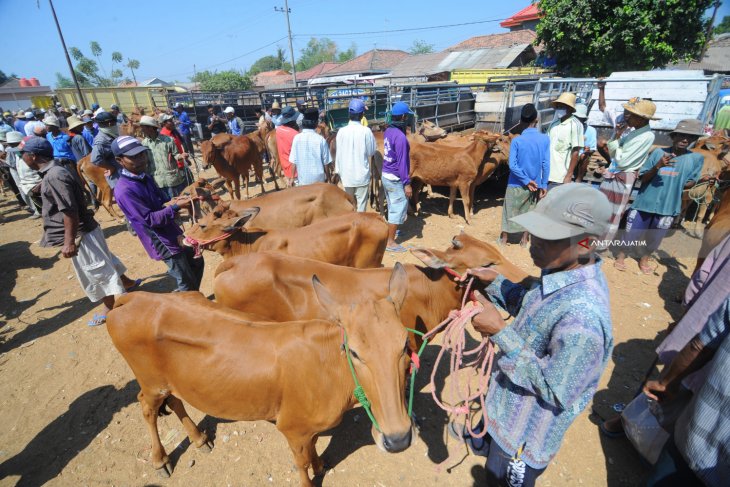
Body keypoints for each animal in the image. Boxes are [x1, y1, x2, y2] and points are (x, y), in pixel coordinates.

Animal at [109, 276, 416, 486]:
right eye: (354, 351)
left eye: (404, 345)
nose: (398, 438)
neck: (328, 366)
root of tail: (135, 299)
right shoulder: (292, 427)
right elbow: (301, 461)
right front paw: (310, 475)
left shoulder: (310, 427)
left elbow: (315, 447)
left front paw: (320, 465)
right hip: (150, 383)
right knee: (147, 408)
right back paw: (160, 459)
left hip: (169, 381)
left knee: (175, 401)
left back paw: (198, 438)